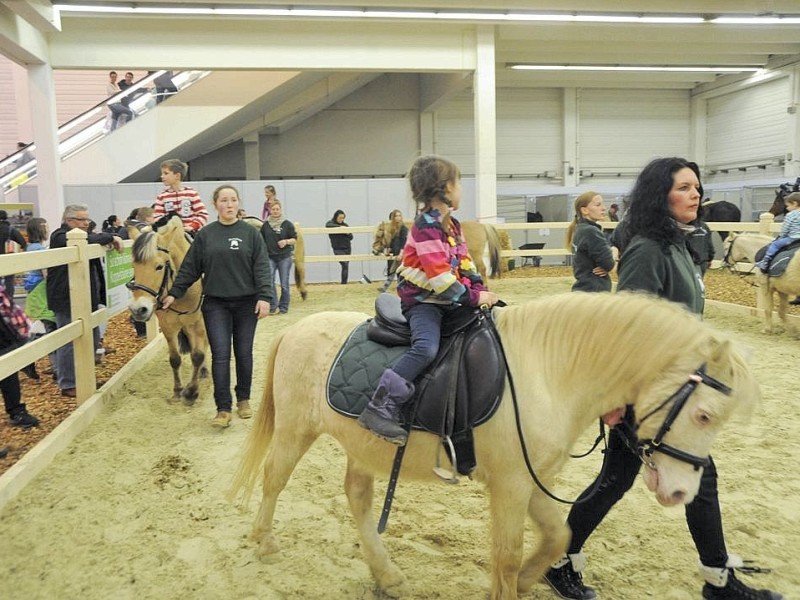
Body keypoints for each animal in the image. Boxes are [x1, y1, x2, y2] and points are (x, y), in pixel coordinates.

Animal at [126, 216, 208, 404]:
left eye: (159, 266)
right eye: (134, 266)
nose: (138, 309)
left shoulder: (199, 322)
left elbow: (198, 355)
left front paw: (191, 392)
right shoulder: (168, 326)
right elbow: (175, 359)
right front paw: (178, 390)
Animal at [230, 292, 756, 600]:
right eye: (704, 415)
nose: (681, 493)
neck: (547, 368)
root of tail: (295, 330)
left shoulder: (533, 479)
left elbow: (558, 535)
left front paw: (528, 580)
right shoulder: (509, 484)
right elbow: (506, 553)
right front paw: (514, 581)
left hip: (363, 446)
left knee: (357, 499)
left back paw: (387, 574)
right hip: (296, 431)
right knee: (274, 479)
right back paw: (264, 542)